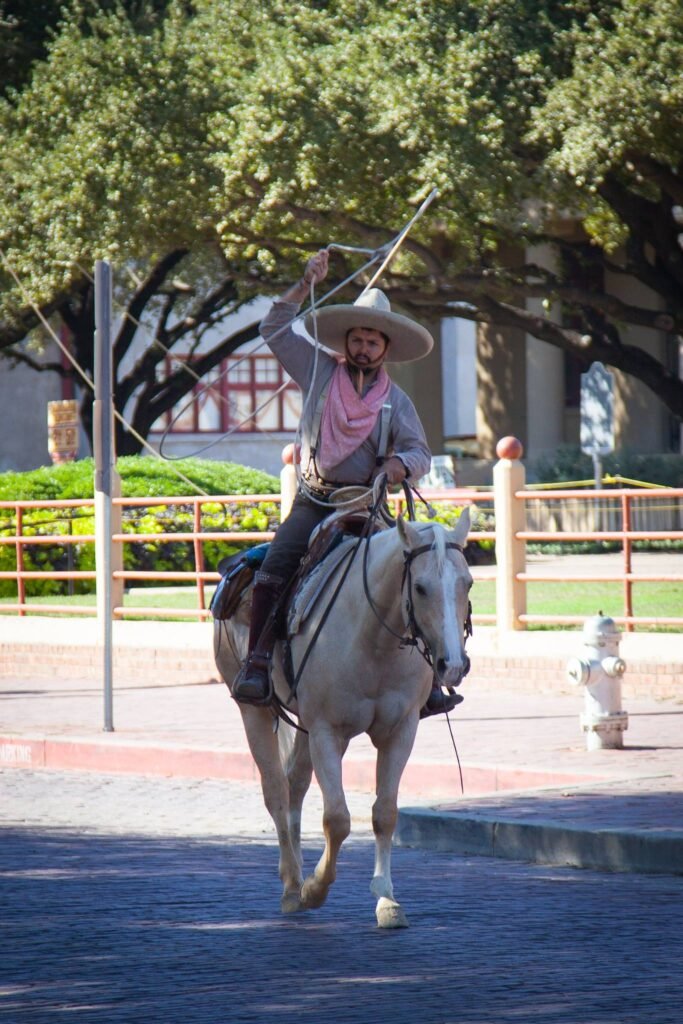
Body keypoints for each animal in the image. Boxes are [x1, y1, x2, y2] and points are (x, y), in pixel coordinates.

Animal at [213, 507, 472, 928]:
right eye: (419, 587)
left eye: (468, 582)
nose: (453, 665)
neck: (373, 639)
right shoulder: (326, 732)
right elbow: (337, 819)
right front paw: (314, 889)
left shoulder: (401, 731)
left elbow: (385, 812)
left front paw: (386, 899)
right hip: (253, 711)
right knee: (276, 791)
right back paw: (292, 886)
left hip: (302, 725)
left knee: (295, 784)